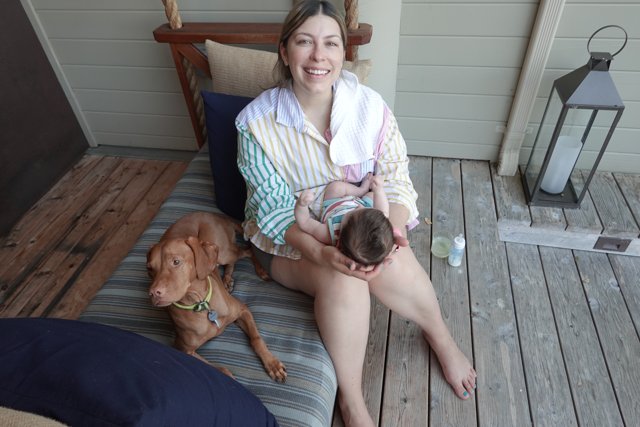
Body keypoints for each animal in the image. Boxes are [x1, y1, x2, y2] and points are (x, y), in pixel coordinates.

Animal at [146, 212, 286, 382]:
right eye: (150, 269)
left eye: (176, 261)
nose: (153, 293)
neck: (201, 304)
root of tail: (214, 215)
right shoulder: (183, 349)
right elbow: (218, 369)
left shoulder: (243, 310)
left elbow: (256, 339)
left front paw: (272, 363)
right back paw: (226, 280)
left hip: (224, 251)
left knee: (246, 251)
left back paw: (260, 270)